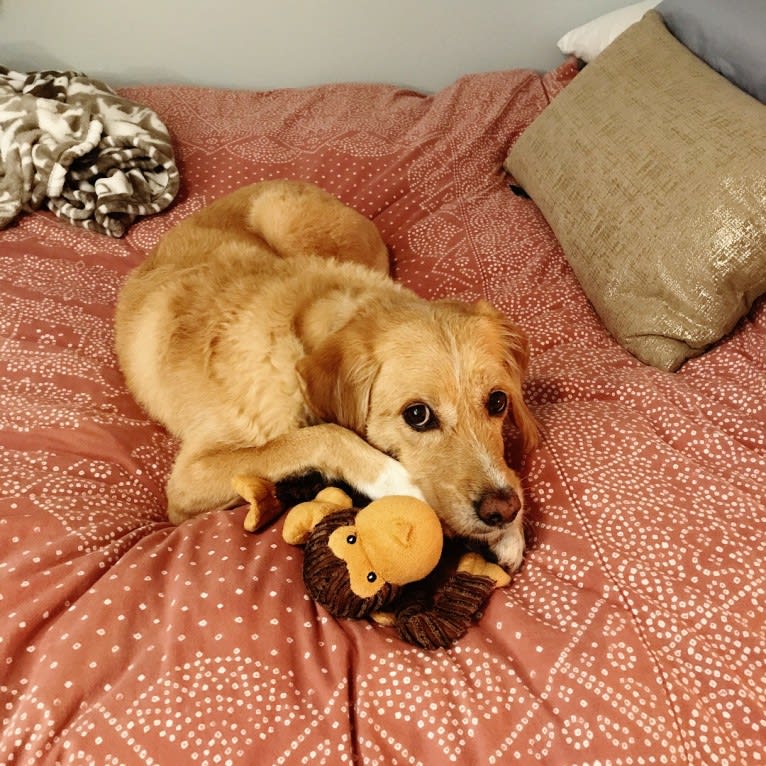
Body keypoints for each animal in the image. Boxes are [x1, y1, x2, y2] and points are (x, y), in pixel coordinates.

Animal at [115, 180, 540, 568]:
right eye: (417, 415)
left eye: (498, 401)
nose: (503, 510)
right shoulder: (189, 480)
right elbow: (320, 436)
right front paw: (400, 483)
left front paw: (510, 532)